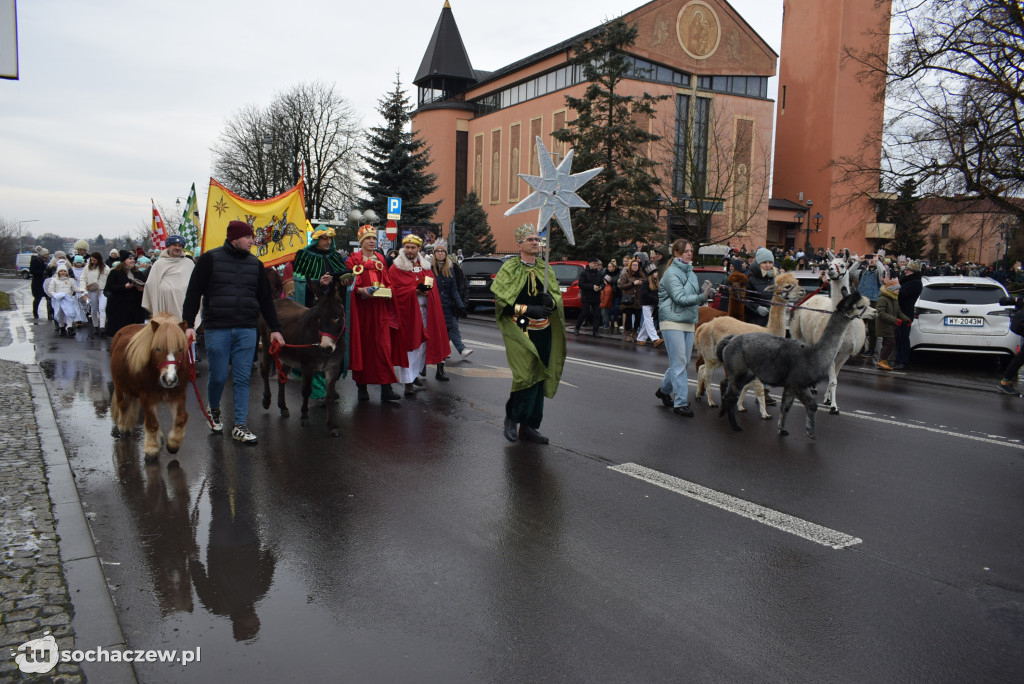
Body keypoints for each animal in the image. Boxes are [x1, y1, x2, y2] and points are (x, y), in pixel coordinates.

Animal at [110, 315, 192, 458]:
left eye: (180, 349)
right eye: (158, 348)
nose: (169, 379)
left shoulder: (178, 395)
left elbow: (181, 419)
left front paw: (173, 444)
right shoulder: (147, 397)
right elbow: (152, 423)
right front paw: (152, 448)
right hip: (120, 388)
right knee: (123, 405)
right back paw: (124, 427)